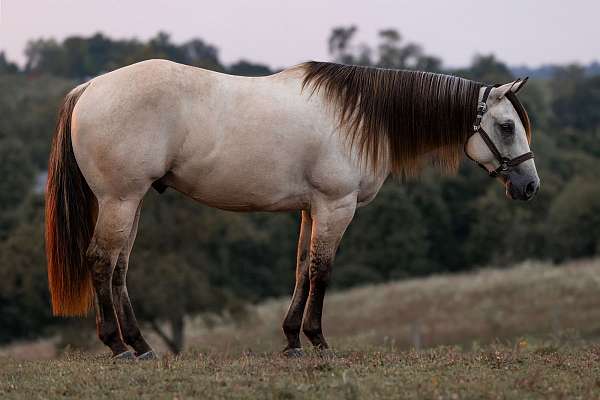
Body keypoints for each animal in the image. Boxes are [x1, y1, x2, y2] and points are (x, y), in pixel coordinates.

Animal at [43, 59, 540, 360]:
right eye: (506, 126)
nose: (529, 186)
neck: (361, 117)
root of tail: (90, 87)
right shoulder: (336, 207)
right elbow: (322, 269)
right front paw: (318, 340)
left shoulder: (310, 209)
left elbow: (301, 268)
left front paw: (291, 340)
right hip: (121, 200)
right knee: (101, 261)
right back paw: (118, 346)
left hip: (131, 203)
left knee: (119, 267)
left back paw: (141, 345)